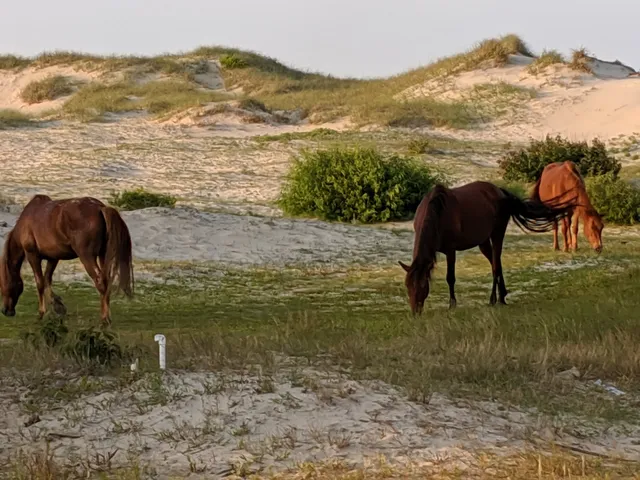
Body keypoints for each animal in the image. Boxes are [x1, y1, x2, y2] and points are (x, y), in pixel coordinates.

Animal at [0, 195, 134, 325]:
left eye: (2, 285)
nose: (6, 311)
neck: (25, 223)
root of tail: (100, 208)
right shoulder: (53, 258)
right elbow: (47, 280)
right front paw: (58, 306)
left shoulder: (32, 255)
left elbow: (40, 282)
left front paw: (41, 313)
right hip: (103, 255)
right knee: (106, 282)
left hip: (87, 256)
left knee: (100, 282)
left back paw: (104, 318)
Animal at [398, 181, 575, 315]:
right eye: (407, 285)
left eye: (422, 285)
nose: (415, 311)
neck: (437, 213)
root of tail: (500, 192)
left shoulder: (450, 250)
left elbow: (450, 277)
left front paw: (452, 304)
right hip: (483, 242)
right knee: (496, 264)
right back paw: (502, 296)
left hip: (497, 234)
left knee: (496, 266)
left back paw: (493, 300)